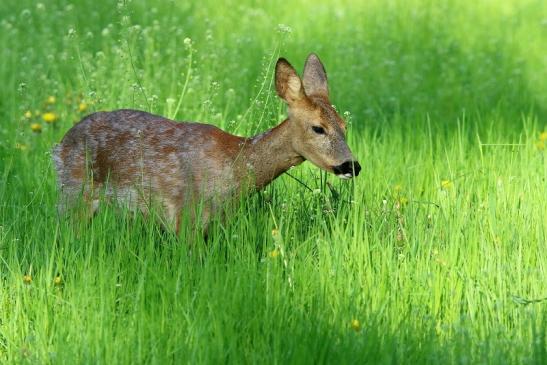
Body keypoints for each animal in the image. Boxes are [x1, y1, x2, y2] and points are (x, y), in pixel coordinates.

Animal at [53, 53, 362, 236]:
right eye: (318, 128)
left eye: (345, 126)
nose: (352, 165)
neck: (236, 169)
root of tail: (59, 144)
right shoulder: (185, 216)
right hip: (74, 194)